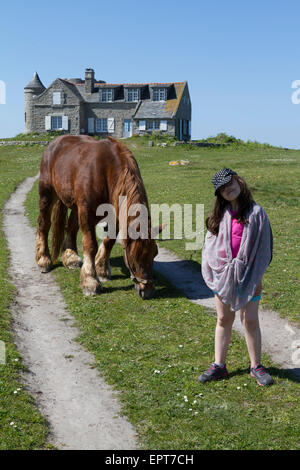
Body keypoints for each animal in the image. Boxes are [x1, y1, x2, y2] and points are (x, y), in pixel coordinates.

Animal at [35, 134, 159, 300]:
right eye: (133, 259)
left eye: (154, 254)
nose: (147, 291)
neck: (106, 170)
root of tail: (54, 143)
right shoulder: (87, 213)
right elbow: (90, 244)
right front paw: (90, 281)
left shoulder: (114, 215)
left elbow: (109, 241)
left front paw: (101, 270)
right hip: (47, 195)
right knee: (44, 224)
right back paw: (43, 259)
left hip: (75, 205)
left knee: (71, 228)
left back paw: (71, 257)